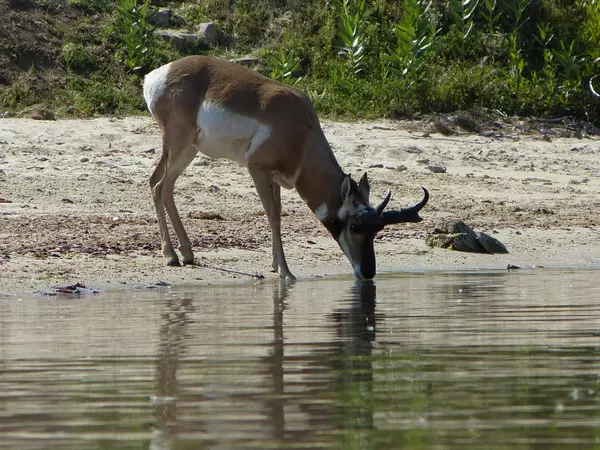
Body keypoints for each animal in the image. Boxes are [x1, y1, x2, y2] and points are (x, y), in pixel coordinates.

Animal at [143, 55, 428, 280]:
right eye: (356, 226)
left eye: (377, 229)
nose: (368, 273)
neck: (300, 129)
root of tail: (157, 74)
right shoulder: (257, 169)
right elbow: (273, 215)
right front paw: (286, 272)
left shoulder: (277, 179)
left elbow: (277, 211)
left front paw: (274, 264)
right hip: (178, 145)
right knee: (159, 185)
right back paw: (170, 256)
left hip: (188, 150)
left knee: (161, 184)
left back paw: (186, 254)